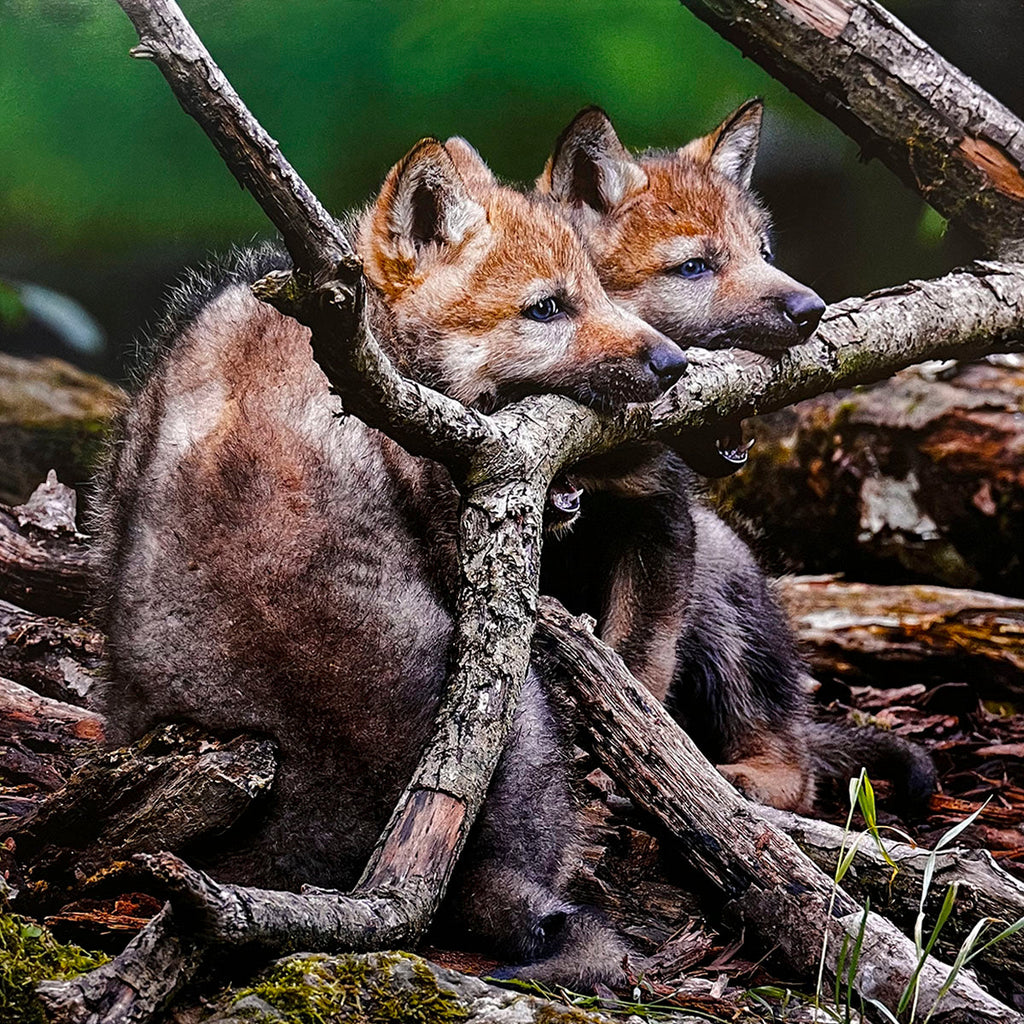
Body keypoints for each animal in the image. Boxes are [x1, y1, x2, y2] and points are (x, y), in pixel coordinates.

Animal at [536, 102, 935, 813]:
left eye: (765, 252)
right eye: (695, 267)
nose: (812, 310)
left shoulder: (660, 524)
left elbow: (634, 663)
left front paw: (629, 761)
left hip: (722, 576)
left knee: (795, 765)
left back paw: (741, 781)